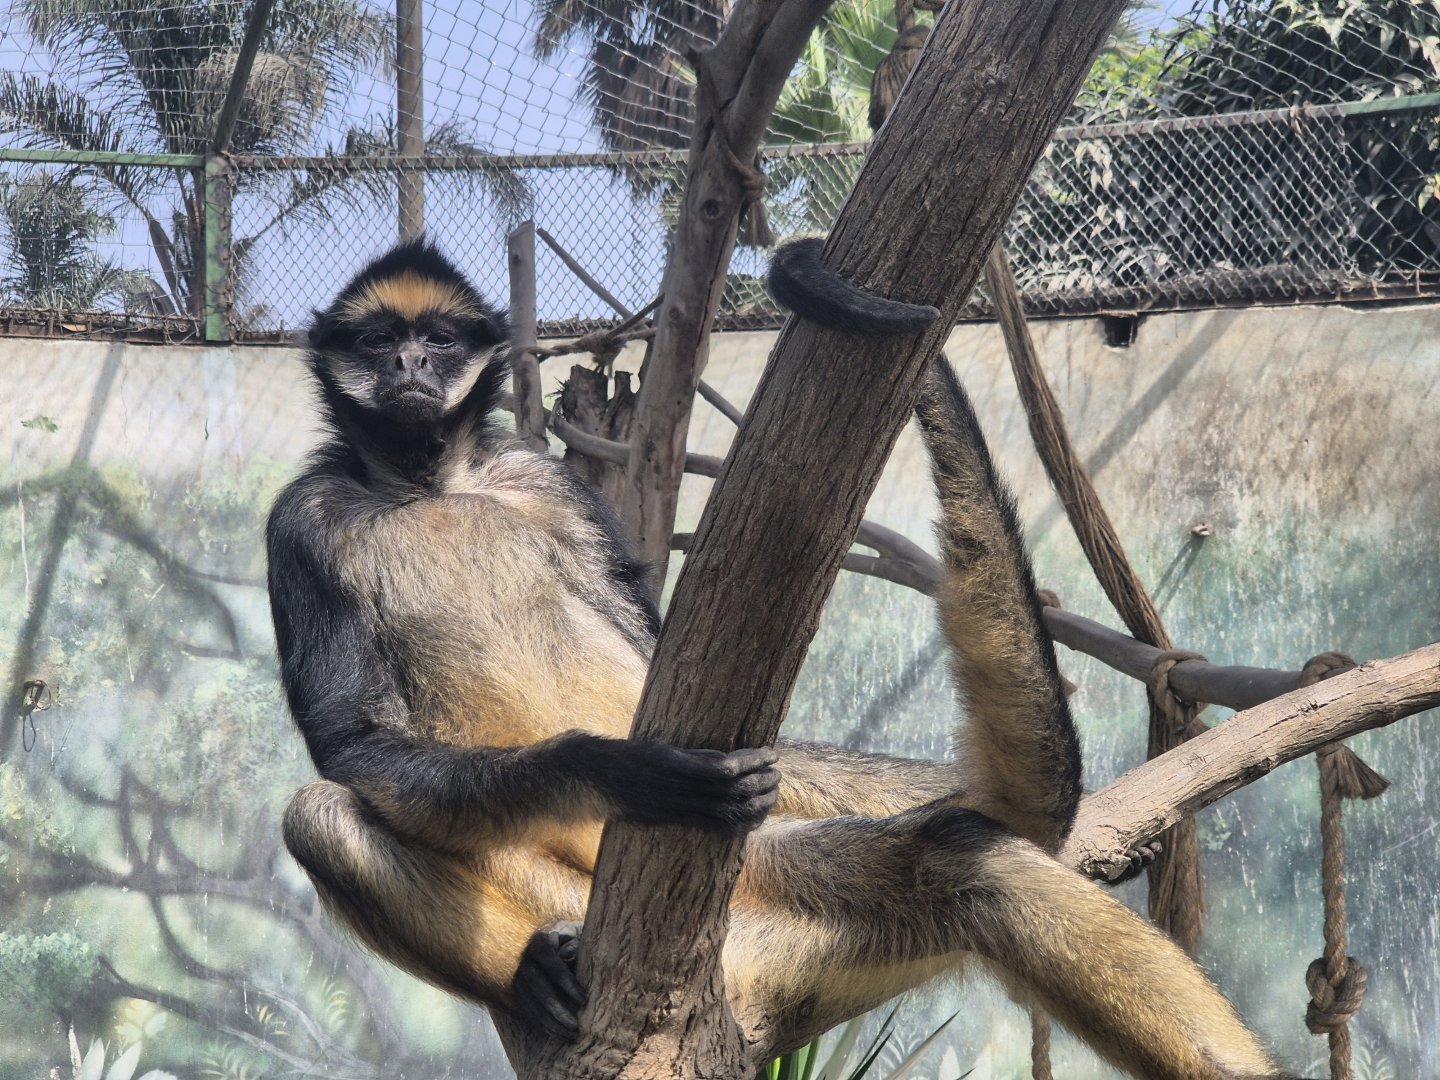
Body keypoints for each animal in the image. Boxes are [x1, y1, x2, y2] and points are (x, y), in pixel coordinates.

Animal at [270, 238, 1288, 1078]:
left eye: (438, 341)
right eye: (379, 342)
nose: (408, 367)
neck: (429, 484)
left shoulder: (543, 480)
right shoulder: (303, 518)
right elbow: (348, 746)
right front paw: (616, 769)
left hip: (766, 890)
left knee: (964, 862)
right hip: (585, 898)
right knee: (318, 814)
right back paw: (534, 967)